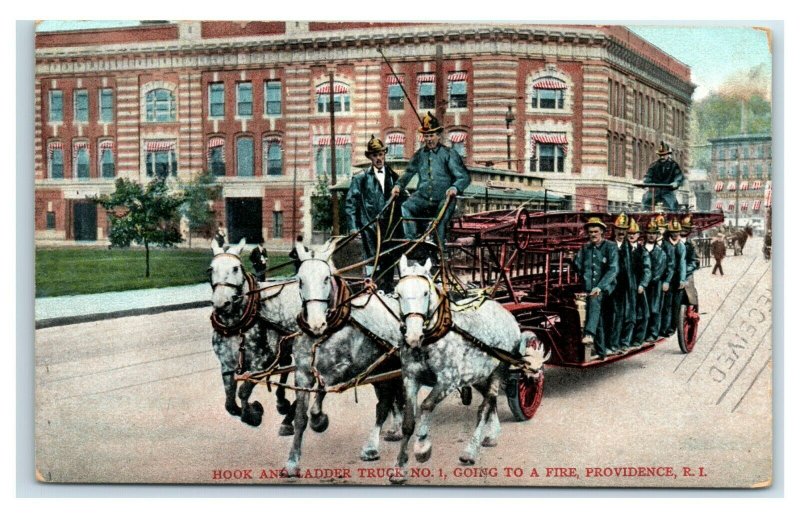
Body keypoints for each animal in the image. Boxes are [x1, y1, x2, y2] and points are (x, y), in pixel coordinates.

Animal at [209, 240, 294, 434]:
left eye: (235, 268)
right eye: (210, 269)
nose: (221, 304)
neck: (237, 324)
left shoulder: (261, 363)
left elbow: (243, 391)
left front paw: (253, 414)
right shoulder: (226, 364)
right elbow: (229, 401)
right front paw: (249, 410)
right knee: (286, 364)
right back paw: (282, 402)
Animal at [282, 244, 406, 480]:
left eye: (325, 278)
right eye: (300, 280)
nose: (316, 323)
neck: (323, 334)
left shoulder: (343, 369)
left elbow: (321, 392)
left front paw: (319, 420)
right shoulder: (302, 373)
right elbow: (300, 418)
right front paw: (292, 462)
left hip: (391, 367)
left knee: (386, 404)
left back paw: (371, 447)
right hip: (378, 370)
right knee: (387, 401)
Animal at [390, 256, 548, 484]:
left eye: (426, 293)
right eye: (398, 293)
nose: (412, 336)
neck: (431, 339)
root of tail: (507, 314)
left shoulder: (448, 381)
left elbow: (427, 405)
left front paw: (422, 447)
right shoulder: (410, 379)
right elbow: (408, 423)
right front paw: (399, 468)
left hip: (498, 369)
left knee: (485, 406)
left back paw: (470, 451)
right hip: (479, 375)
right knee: (490, 401)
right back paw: (492, 435)